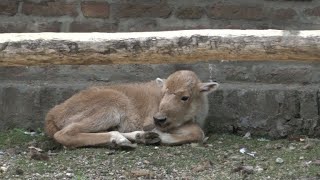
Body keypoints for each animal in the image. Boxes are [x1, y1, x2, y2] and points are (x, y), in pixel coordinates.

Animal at [45, 70, 219, 148]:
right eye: (163, 93)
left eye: (185, 97)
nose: (159, 119)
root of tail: (53, 113)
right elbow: (198, 132)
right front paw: (159, 135)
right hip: (110, 109)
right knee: (65, 133)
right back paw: (122, 139)